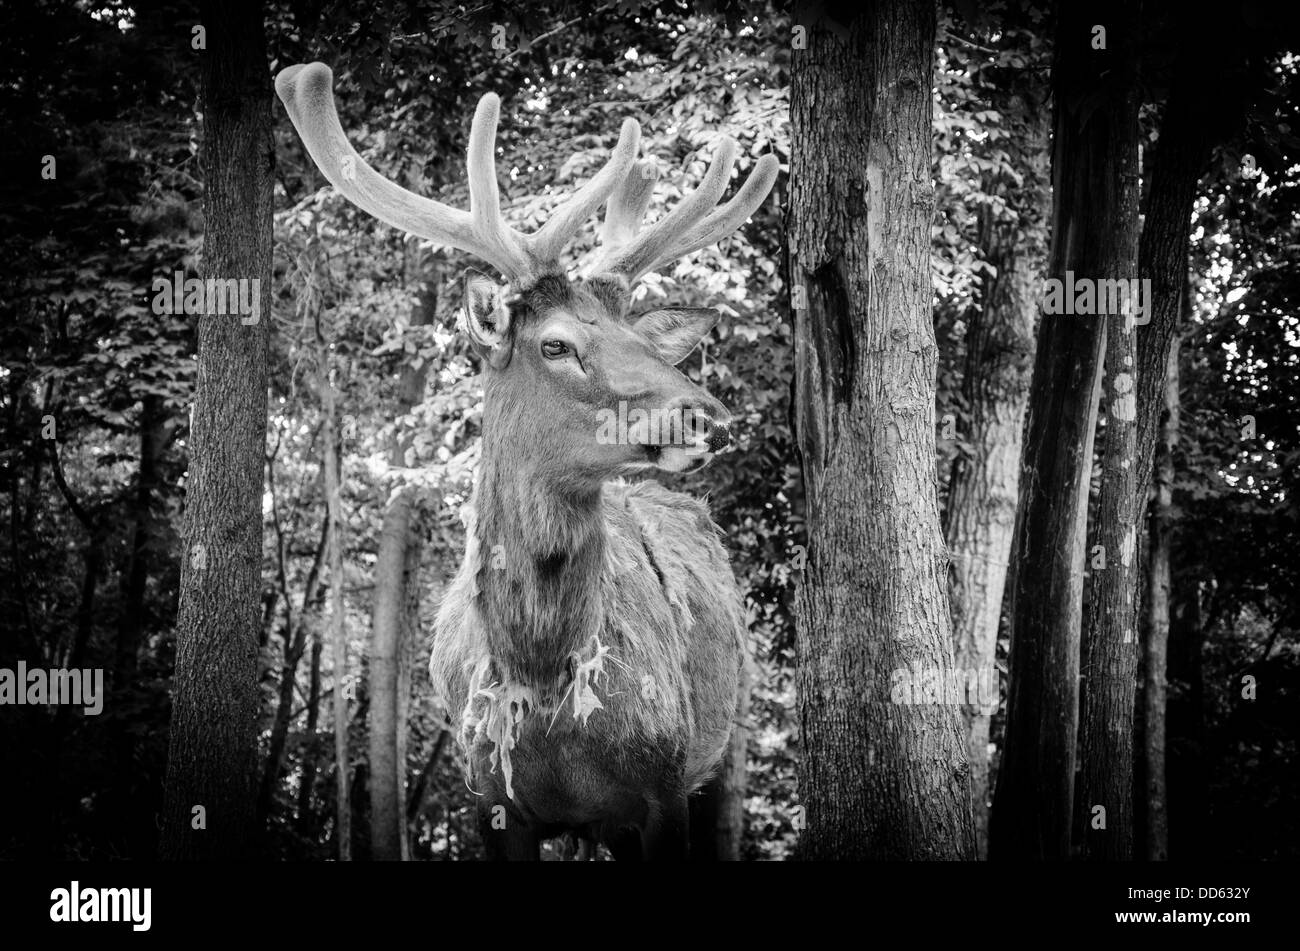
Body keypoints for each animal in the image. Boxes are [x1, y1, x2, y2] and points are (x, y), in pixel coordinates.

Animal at [275, 62, 777, 860]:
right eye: (558, 343)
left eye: (639, 339)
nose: (707, 415)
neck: (541, 684)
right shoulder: (492, 797)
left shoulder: (663, 786)